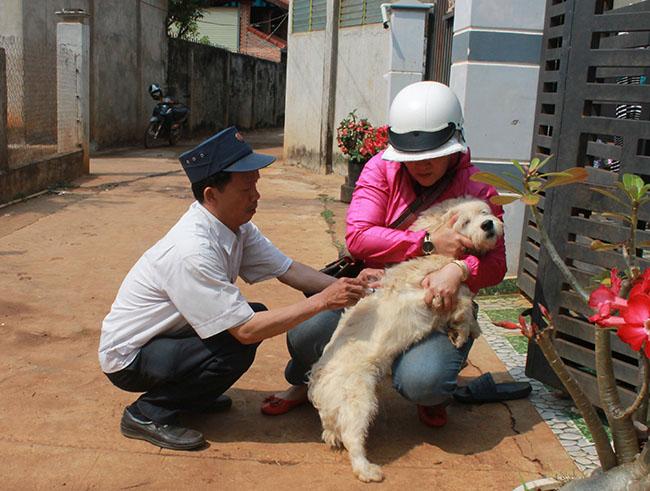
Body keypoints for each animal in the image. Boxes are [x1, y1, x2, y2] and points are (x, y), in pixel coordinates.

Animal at [308, 197, 502, 484]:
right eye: (466, 221)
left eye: (485, 212)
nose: (488, 224)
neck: (434, 257)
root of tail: (318, 381)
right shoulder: (441, 292)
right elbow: (465, 303)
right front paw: (464, 332)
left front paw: (468, 329)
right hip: (358, 401)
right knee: (353, 438)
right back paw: (367, 470)